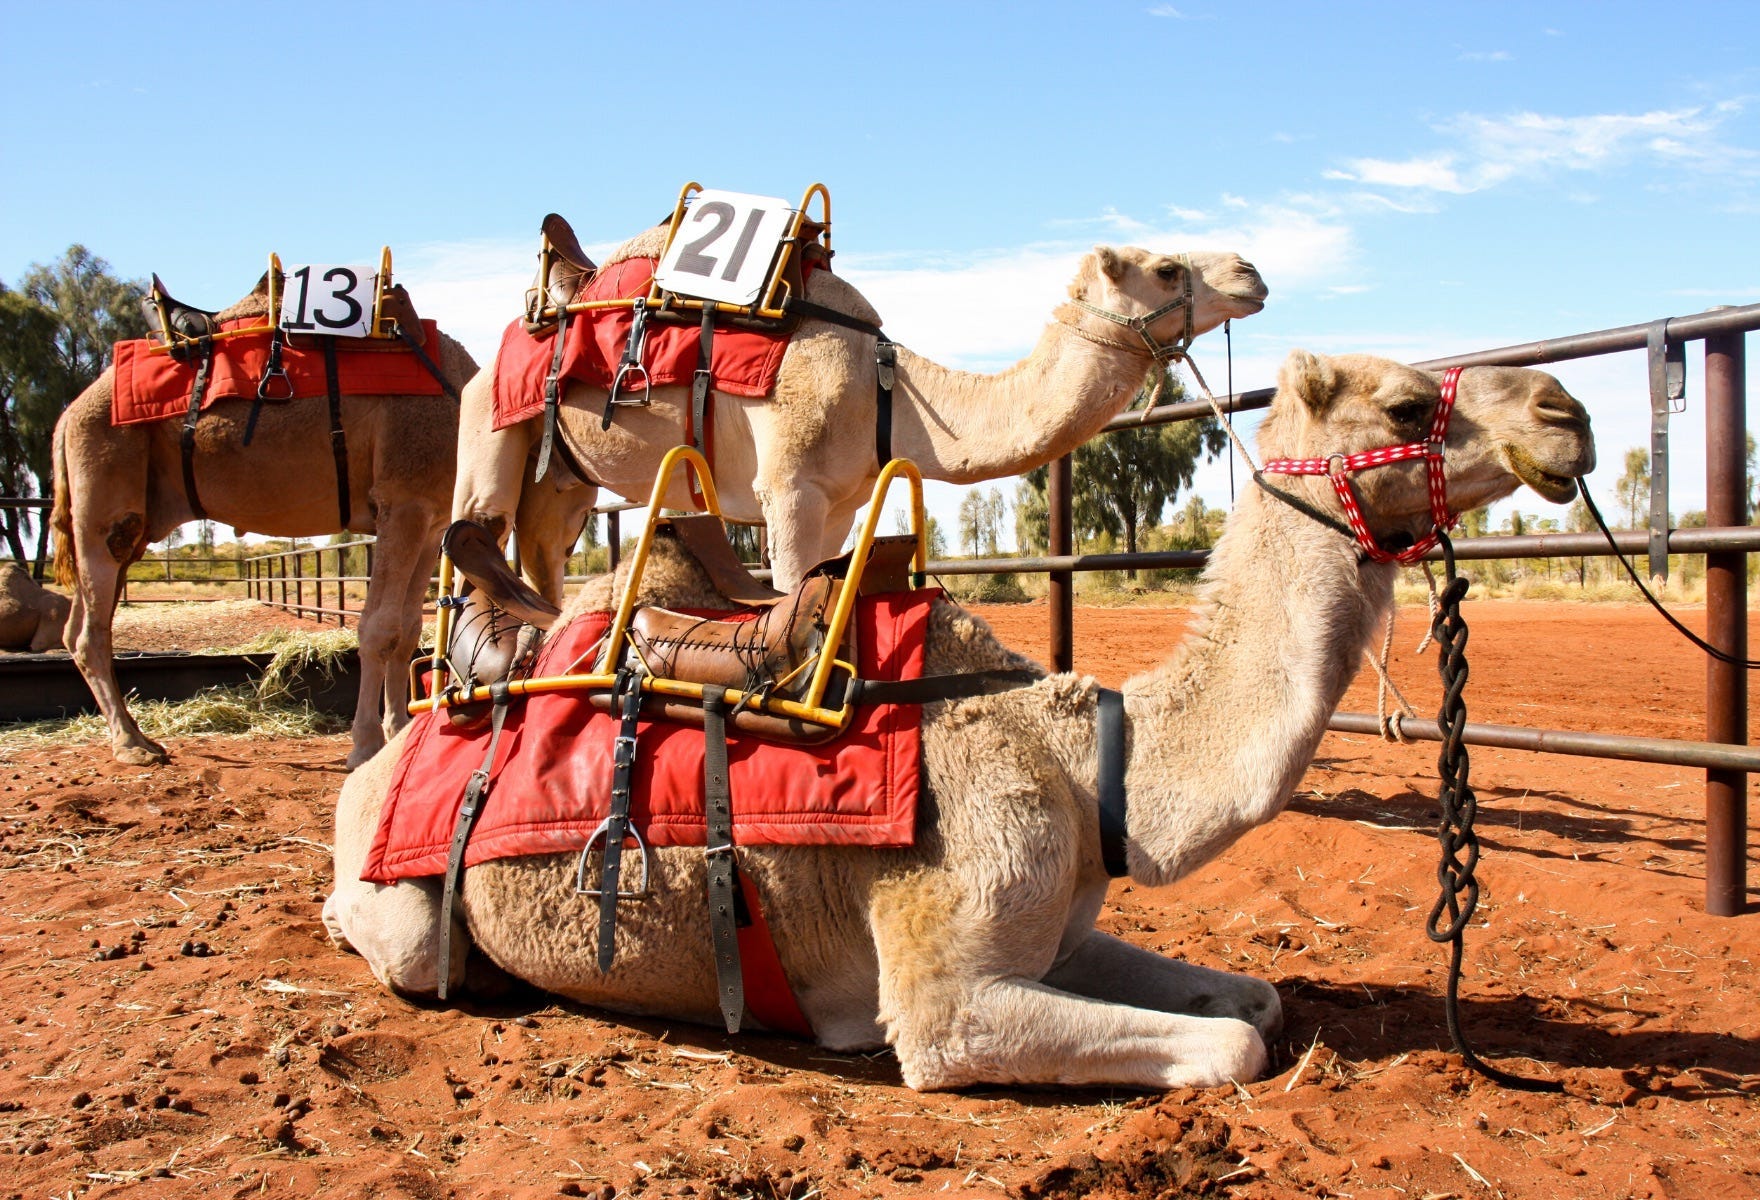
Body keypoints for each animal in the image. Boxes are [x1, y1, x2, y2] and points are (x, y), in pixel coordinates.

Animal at [55, 278, 482, 767]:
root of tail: (67, 415)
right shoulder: (403, 499)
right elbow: (379, 628)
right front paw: (365, 746)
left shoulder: (430, 519)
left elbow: (409, 628)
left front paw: (398, 733)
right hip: (104, 493)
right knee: (90, 631)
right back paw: (132, 744)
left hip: (131, 518)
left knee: (81, 624)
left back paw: (138, 737)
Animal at [447, 221, 1260, 594]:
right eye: (1166, 268)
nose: (1251, 271)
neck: (885, 390)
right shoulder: (790, 490)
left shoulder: (840, 502)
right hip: (488, 425)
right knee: (471, 541)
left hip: (565, 482)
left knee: (541, 553)